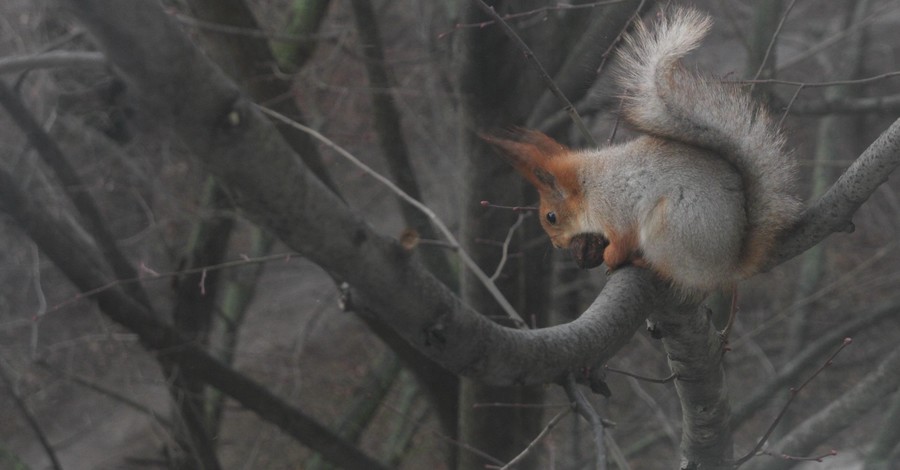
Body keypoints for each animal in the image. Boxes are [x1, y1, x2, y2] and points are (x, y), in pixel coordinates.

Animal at [486, 7, 800, 292]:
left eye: (551, 217)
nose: (557, 244)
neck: (589, 184)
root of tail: (726, 266)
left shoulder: (616, 210)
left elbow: (622, 239)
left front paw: (611, 257)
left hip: (669, 227)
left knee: (672, 271)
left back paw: (644, 262)